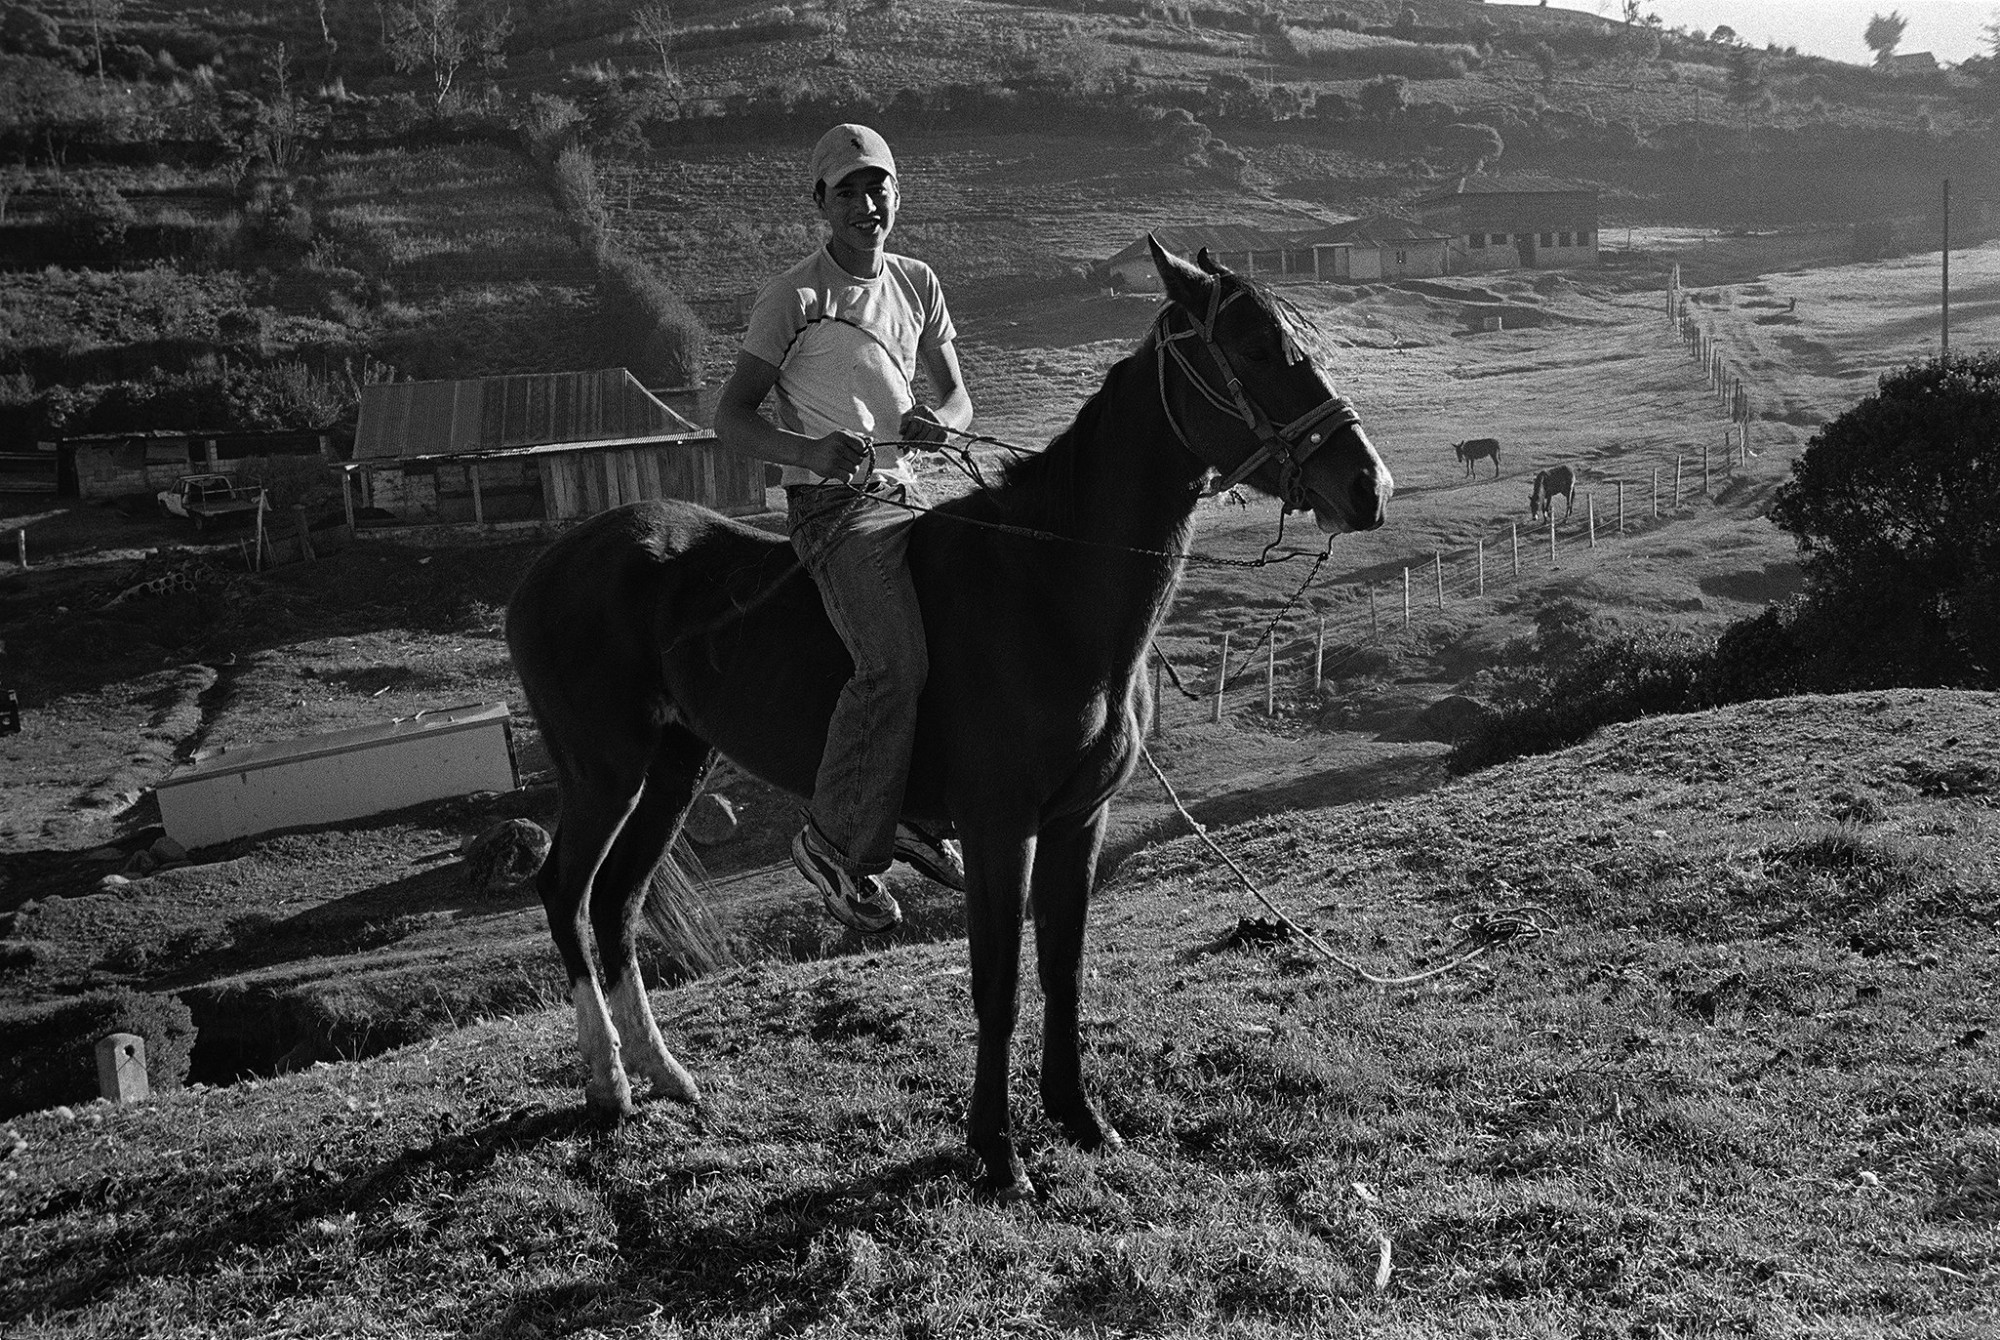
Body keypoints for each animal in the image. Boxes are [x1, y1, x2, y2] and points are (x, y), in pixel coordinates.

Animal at [504, 242, 1392, 1208]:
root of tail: (551, 564)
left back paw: (665, 1075)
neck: (1048, 588)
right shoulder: (1001, 826)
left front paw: (1081, 1118)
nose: (1368, 485)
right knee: (566, 893)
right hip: (605, 770)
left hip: (674, 767)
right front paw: (999, 1155)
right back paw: (608, 1081)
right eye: (1256, 347)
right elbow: (997, 984)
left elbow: (1064, 969)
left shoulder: (1079, 821)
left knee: (617, 902)